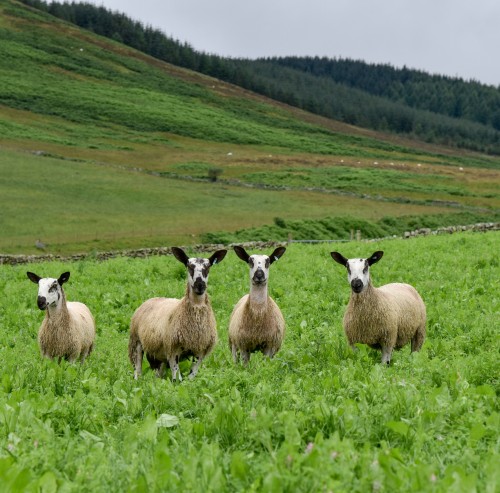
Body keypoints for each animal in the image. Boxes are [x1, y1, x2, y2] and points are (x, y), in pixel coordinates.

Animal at [128, 247, 227, 381]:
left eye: (208, 267)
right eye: (189, 266)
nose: (200, 285)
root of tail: (152, 299)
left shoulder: (200, 350)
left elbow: (191, 377)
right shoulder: (173, 349)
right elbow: (177, 379)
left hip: (159, 353)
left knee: (158, 374)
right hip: (136, 342)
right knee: (137, 370)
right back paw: (138, 381)